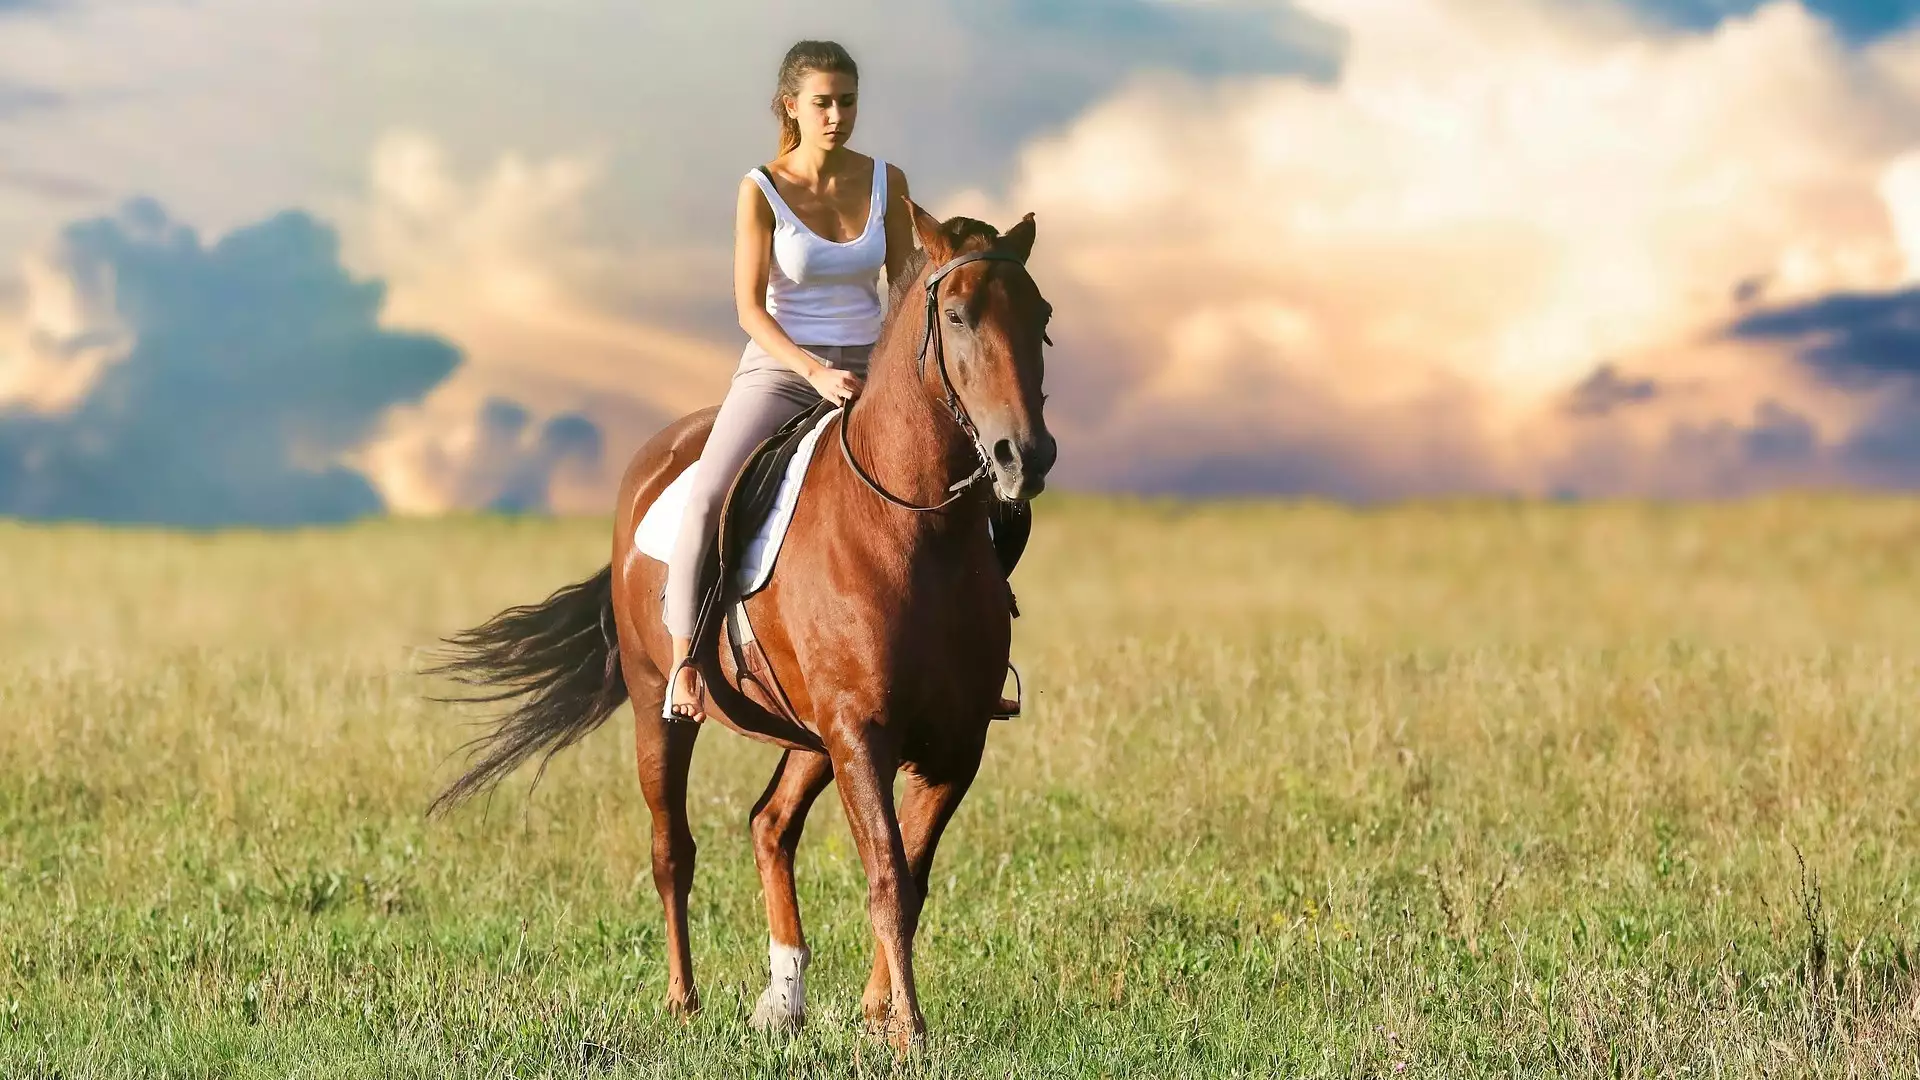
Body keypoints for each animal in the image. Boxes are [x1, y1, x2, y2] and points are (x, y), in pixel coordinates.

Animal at [424, 197, 1052, 1045]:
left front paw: (880, 1015)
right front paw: (911, 1031)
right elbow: (887, 874)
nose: (1026, 456)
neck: (916, 530)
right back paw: (682, 999)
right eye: (956, 315)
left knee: (769, 824)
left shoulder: (954, 744)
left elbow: (911, 877)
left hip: (808, 736)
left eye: (1041, 317)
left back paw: (783, 999)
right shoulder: (862, 735)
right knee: (673, 849)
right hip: (663, 711)